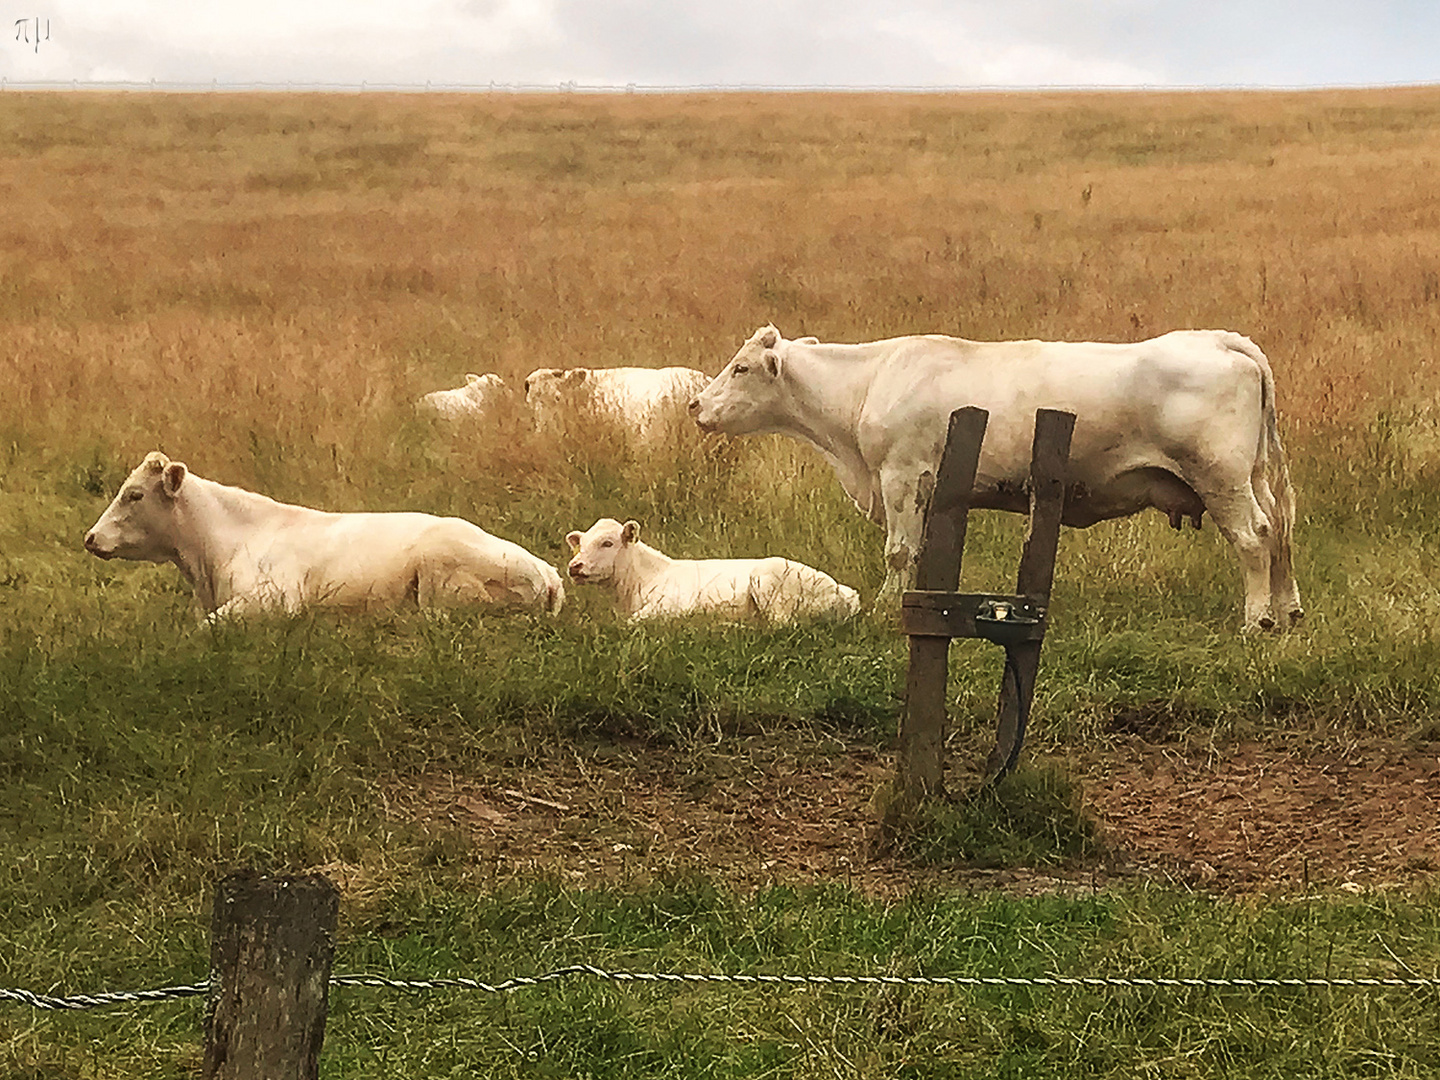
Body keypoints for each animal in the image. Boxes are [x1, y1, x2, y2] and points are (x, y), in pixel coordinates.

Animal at [558, 518, 852, 624]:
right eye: (580, 544)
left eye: (607, 542)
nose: (574, 567)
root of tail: (846, 592)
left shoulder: (672, 605)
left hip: (768, 580)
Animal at [688, 329, 1307, 633]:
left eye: (741, 368)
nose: (696, 404)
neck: (869, 382)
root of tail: (1217, 338)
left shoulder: (900, 475)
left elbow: (898, 552)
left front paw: (886, 608)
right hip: (1252, 475)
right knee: (1280, 533)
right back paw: (1288, 611)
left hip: (1220, 475)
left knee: (1253, 536)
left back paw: (1257, 620)